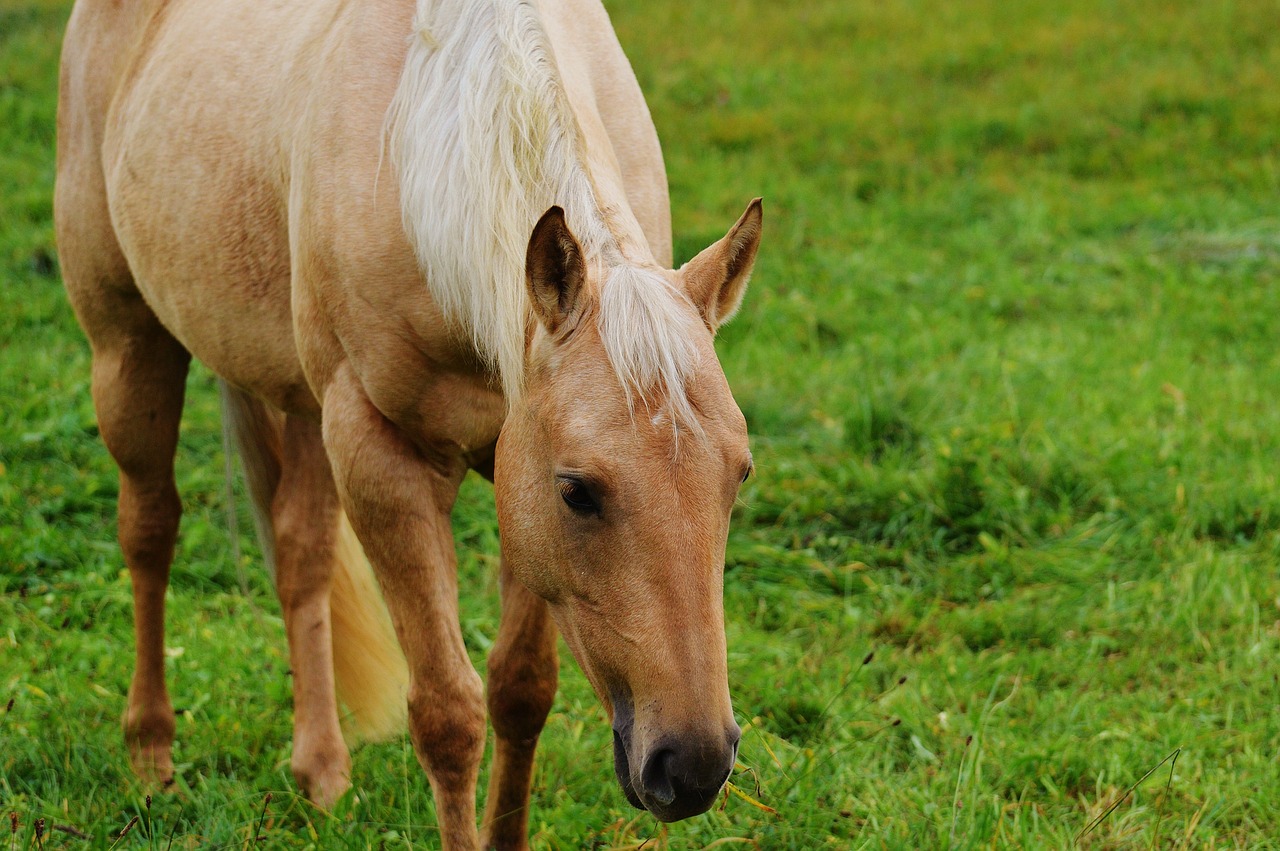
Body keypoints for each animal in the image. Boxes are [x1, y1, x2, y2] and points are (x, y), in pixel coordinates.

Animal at [57, 0, 757, 844]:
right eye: (578, 491)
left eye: (738, 477)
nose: (693, 766)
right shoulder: (382, 456)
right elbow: (448, 714)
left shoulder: (512, 463)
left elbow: (521, 690)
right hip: (130, 349)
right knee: (150, 529)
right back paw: (151, 754)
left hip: (303, 403)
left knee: (300, 552)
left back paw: (321, 769)